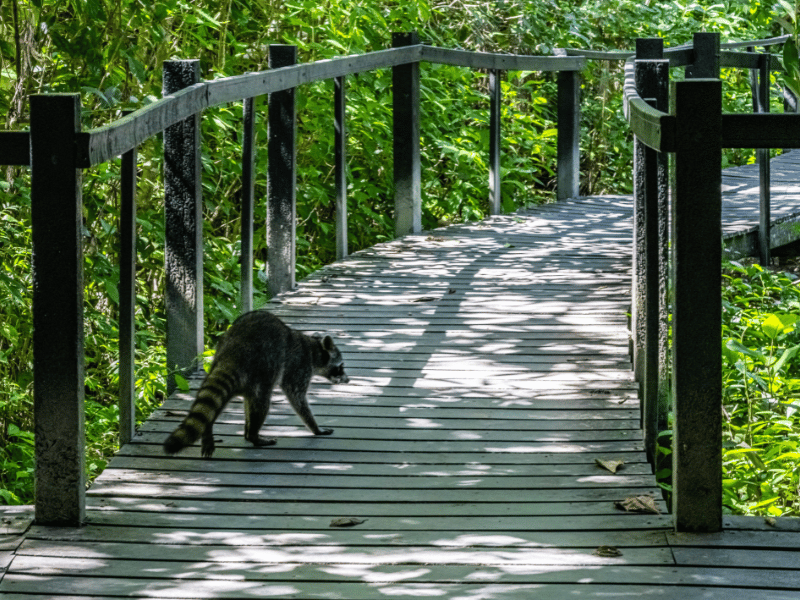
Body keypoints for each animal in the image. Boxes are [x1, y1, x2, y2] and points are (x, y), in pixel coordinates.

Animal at [164, 312, 348, 458]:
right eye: (340, 366)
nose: (347, 380)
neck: (313, 349)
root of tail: (232, 352)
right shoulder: (298, 366)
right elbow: (297, 398)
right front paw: (315, 427)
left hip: (234, 370)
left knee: (226, 402)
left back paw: (220, 431)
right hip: (262, 368)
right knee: (262, 403)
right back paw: (254, 436)